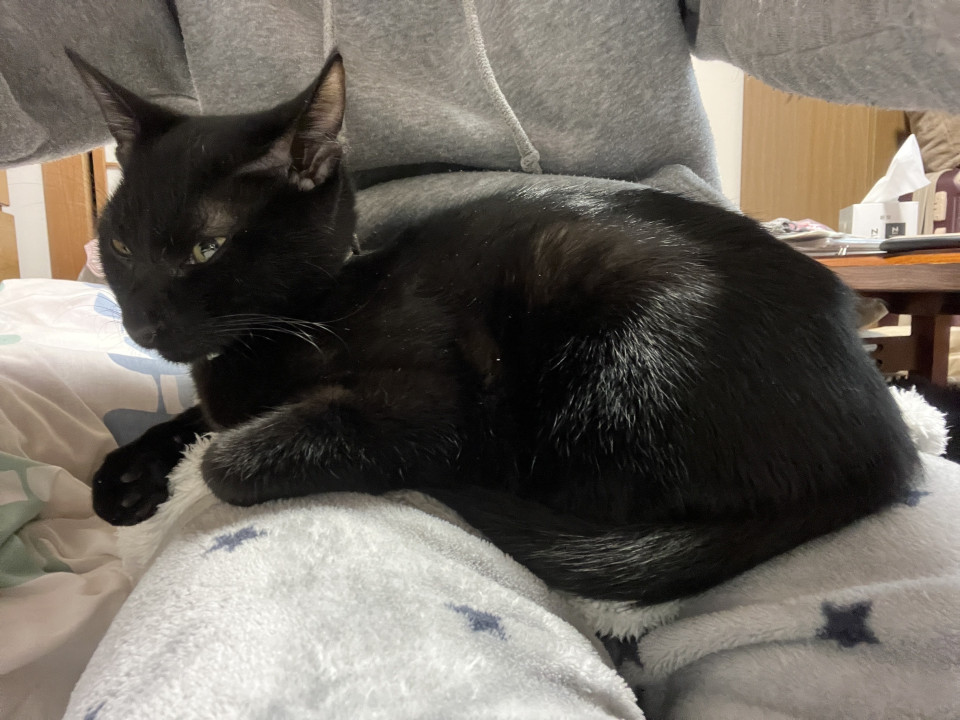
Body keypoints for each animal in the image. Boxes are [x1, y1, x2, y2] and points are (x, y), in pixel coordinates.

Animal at [70, 50, 918, 605]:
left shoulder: (431, 408)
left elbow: (225, 456)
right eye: (120, 245)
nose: (141, 321)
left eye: (205, 248)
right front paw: (126, 475)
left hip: (618, 357)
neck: (312, 309)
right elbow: (193, 418)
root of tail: (885, 442)